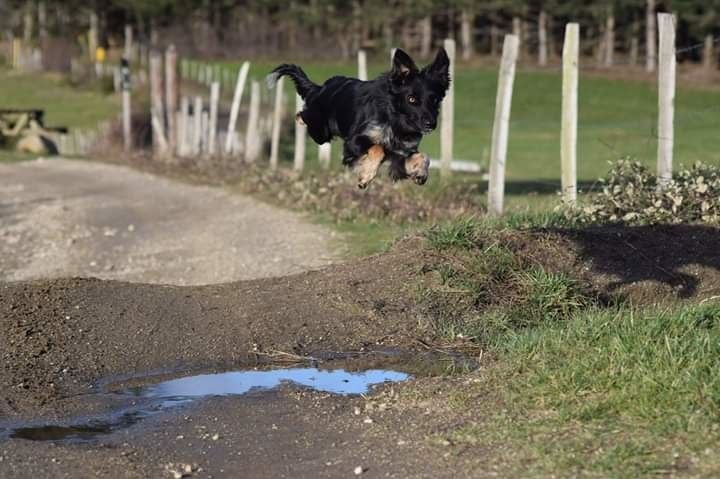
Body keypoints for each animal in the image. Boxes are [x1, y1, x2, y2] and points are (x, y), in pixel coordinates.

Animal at [268, 48, 450, 188]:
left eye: (435, 99)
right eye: (411, 99)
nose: (431, 124)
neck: (394, 118)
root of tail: (320, 88)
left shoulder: (401, 151)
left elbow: (423, 156)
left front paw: (420, 172)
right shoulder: (353, 141)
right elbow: (378, 149)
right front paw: (366, 175)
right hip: (321, 131)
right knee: (301, 114)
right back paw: (299, 117)